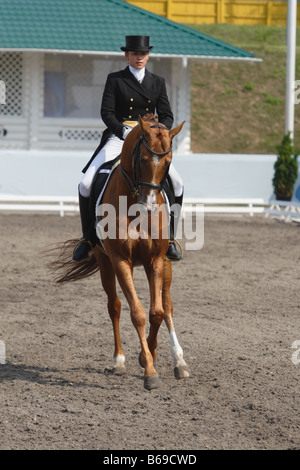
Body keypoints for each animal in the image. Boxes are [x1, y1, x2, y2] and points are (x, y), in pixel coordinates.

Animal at [50, 114, 189, 390]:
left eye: (168, 162)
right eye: (143, 159)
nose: (149, 205)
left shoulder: (155, 260)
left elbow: (156, 312)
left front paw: (150, 355)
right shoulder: (120, 261)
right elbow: (137, 313)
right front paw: (149, 369)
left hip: (166, 262)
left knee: (167, 306)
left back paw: (179, 362)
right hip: (105, 263)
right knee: (114, 306)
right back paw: (119, 361)